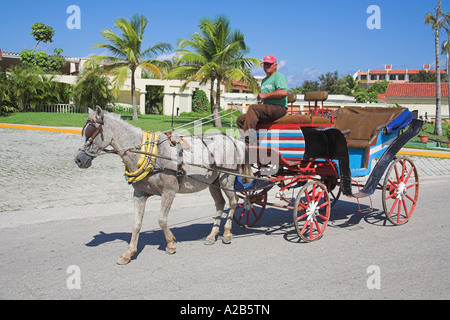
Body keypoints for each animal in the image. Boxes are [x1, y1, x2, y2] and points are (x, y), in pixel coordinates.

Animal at [74, 106, 250, 264]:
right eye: (83, 132)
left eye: (91, 132)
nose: (78, 160)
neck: (150, 154)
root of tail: (232, 140)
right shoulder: (139, 194)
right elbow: (136, 224)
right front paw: (128, 253)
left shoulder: (169, 192)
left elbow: (161, 220)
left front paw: (171, 244)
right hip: (213, 182)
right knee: (220, 204)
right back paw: (212, 235)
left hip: (226, 178)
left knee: (233, 202)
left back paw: (227, 233)